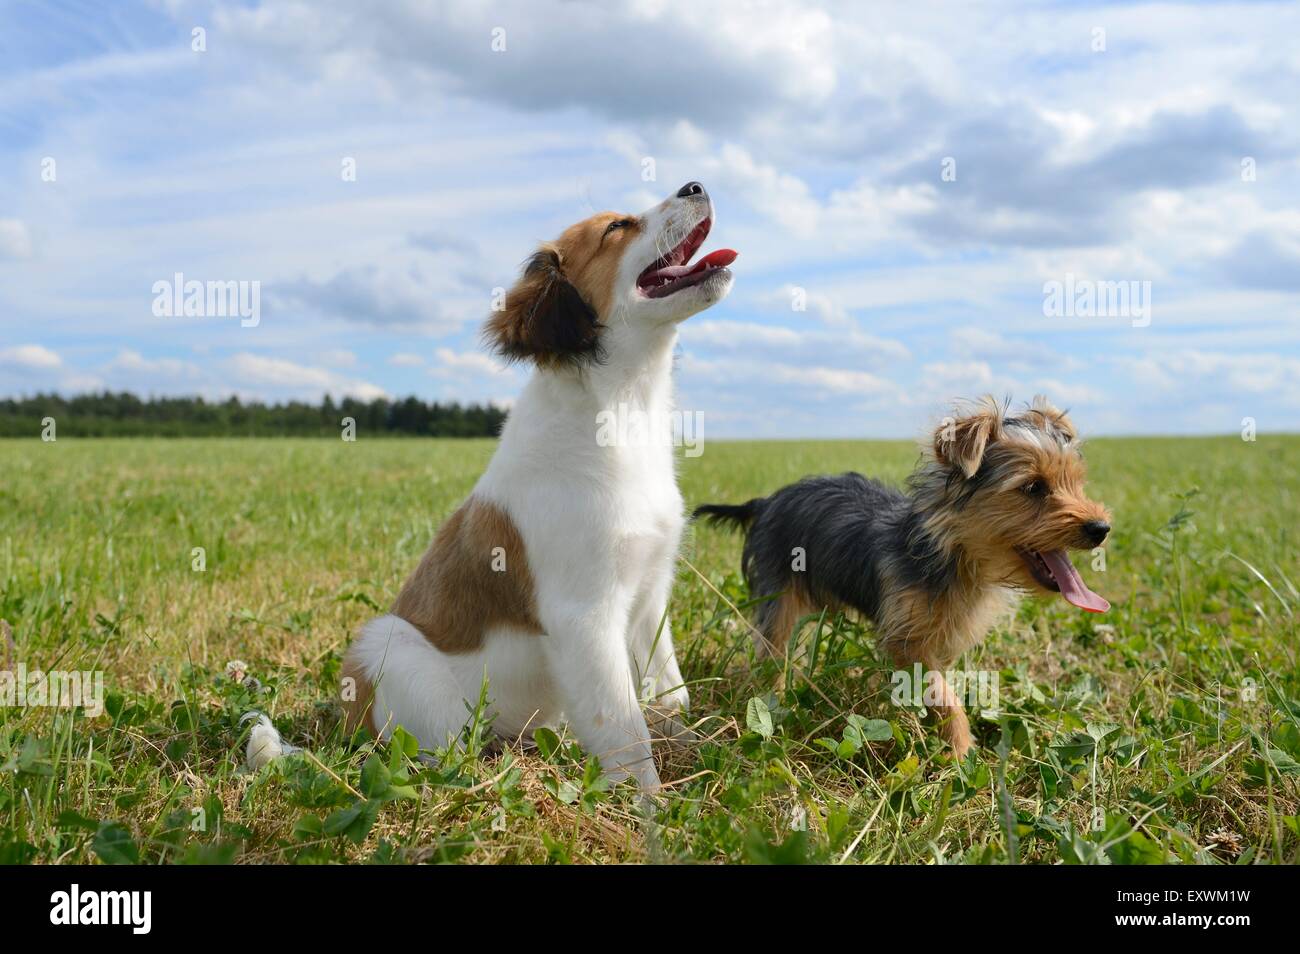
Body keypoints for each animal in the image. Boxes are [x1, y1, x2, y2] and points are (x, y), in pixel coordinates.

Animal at [340, 180, 738, 790]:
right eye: (617, 227)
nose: (695, 185)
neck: (621, 409)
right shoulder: (585, 615)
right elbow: (624, 728)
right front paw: (650, 804)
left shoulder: (650, 596)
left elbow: (669, 695)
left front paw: (692, 754)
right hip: (387, 646)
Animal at [696, 395, 1112, 764]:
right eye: (1033, 487)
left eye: (1076, 484)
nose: (1101, 528)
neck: (955, 559)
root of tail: (765, 501)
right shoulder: (906, 639)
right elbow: (943, 693)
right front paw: (960, 750)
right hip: (777, 595)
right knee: (771, 647)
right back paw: (775, 698)